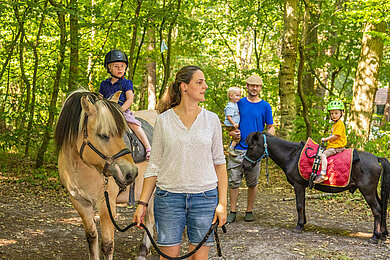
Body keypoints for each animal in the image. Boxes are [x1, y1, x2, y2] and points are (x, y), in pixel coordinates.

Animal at [244, 132, 390, 244]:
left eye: (251, 147)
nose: (245, 165)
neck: (292, 155)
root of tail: (376, 158)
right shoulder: (302, 187)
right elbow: (302, 204)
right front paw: (303, 223)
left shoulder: (298, 185)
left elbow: (299, 206)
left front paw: (298, 226)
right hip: (372, 191)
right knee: (382, 207)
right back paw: (382, 234)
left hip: (367, 191)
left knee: (377, 210)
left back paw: (375, 236)